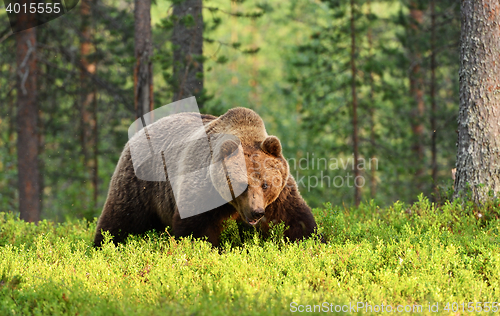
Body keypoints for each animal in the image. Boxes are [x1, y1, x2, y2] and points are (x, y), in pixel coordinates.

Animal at [94, 107, 316, 246]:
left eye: (266, 185)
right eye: (241, 185)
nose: (256, 212)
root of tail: (139, 133)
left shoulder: (280, 197)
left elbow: (295, 221)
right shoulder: (203, 190)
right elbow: (197, 229)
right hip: (141, 184)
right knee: (122, 221)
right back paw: (104, 245)